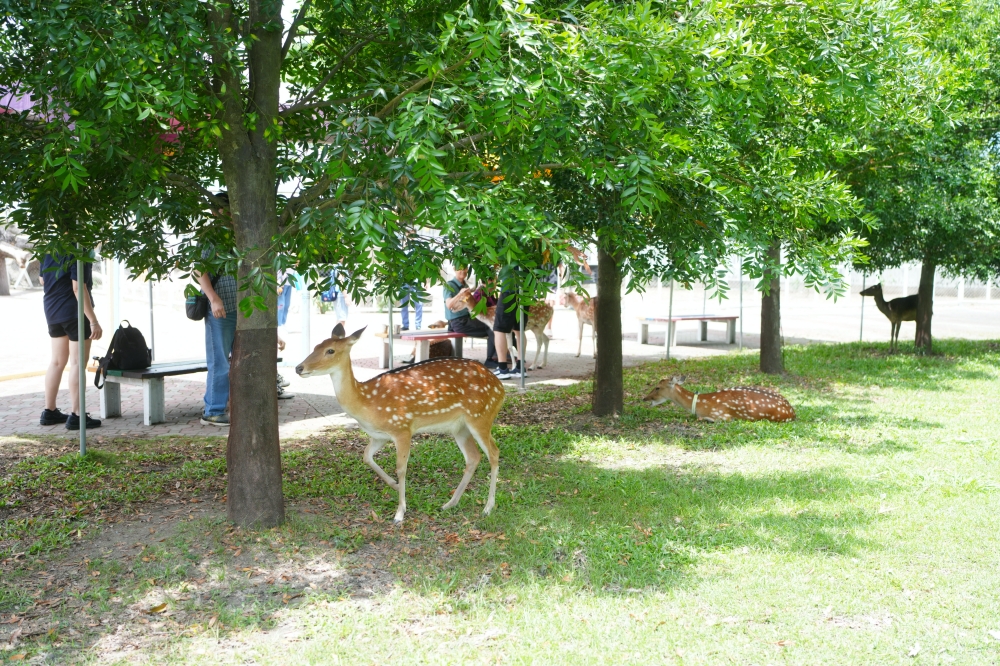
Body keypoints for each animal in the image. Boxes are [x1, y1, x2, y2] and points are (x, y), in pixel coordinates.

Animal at [295, 324, 505, 524]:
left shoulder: (402, 428)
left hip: (481, 416)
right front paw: (394, 486)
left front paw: (399, 513)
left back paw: (488, 507)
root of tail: (500, 388)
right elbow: (366, 457)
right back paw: (449, 503)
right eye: (315, 346)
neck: (366, 403)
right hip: (460, 427)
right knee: (473, 457)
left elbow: (401, 468)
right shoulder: (379, 436)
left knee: (494, 453)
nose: (299, 368)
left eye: (330, 350)